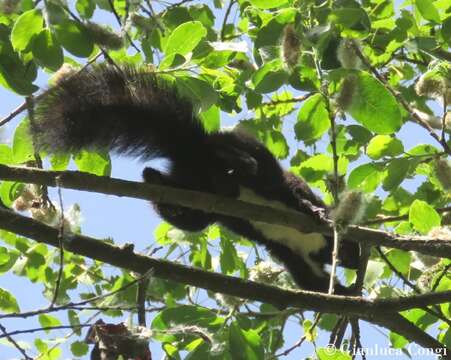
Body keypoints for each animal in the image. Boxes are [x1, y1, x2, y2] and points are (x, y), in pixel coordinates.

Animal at [30, 64, 360, 294]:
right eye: (350, 250)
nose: (354, 262)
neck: (318, 245)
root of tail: (188, 147)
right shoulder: (296, 234)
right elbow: (300, 196)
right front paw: (315, 212)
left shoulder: (296, 256)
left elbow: (312, 282)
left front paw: (348, 293)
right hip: (240, 152)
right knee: (255, 164)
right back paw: (238, 165)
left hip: (192, 188)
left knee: (185, 206)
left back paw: (155, 181)